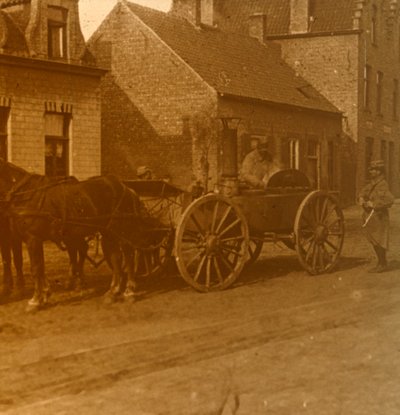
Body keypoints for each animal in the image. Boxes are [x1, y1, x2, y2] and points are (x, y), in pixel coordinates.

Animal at [0, 160, 152, 312]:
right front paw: (44, 295)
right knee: (116, 257)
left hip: (121, 230)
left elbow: (36, 269)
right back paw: (112, 292)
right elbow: (40, 267)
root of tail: (126, 188)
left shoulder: (33, 239)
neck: (24, 194)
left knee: (128, 256)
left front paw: (35, 301)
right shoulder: (30, 240)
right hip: (108, 232)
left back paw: (129, 291)